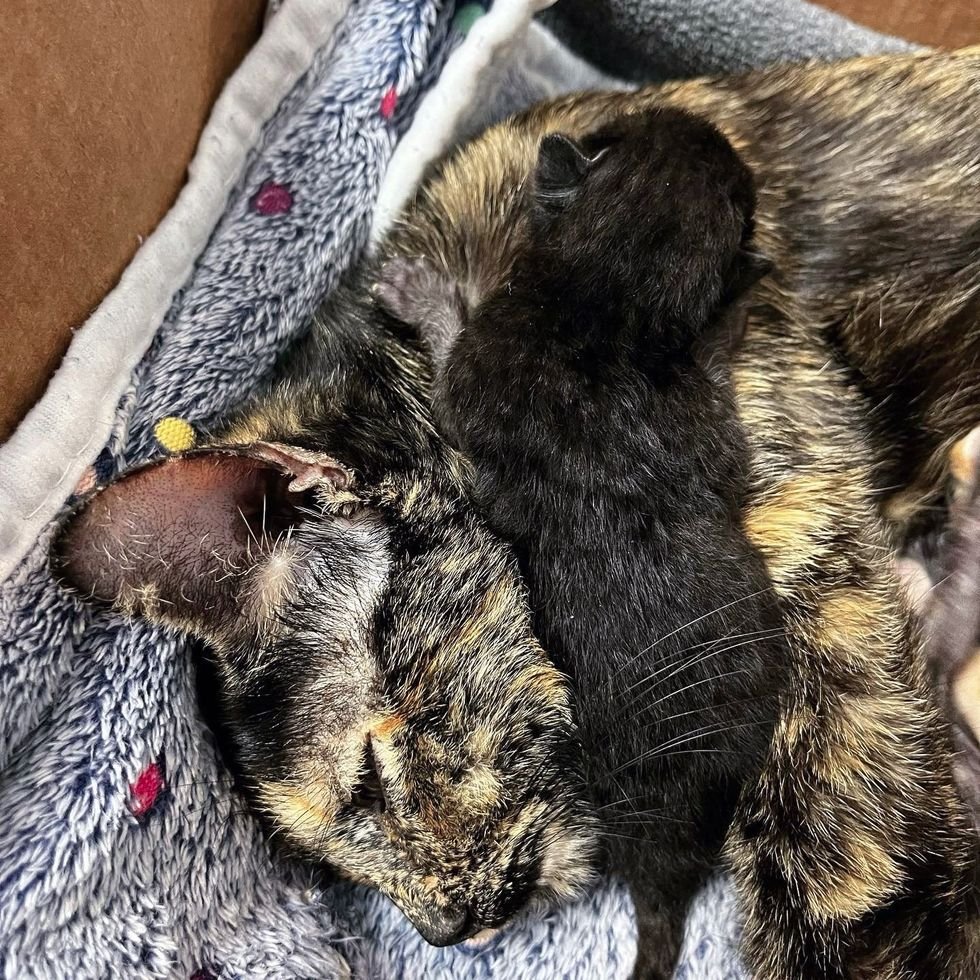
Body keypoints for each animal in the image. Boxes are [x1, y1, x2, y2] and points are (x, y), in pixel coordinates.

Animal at [376, 107, 788, 980]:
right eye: (642, 126)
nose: (700, 120)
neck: (608, 291)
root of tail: (665, 860)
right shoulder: (703, 420)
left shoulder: (475, 373)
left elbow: (448, 357)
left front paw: (419, 291)